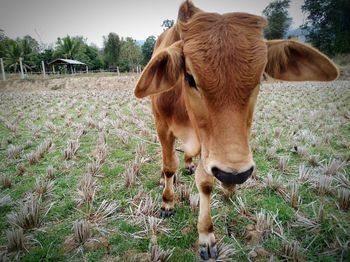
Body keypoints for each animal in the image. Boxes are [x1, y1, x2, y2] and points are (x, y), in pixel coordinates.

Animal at [133, 0, 336, 260]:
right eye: (190, 77)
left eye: (261, 78)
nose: (234, 174)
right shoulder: (163, 127)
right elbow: (169, 167)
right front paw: (168, 202)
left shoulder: (209, 146)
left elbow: (205, 183)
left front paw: (206, 236)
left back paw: (188, 164)